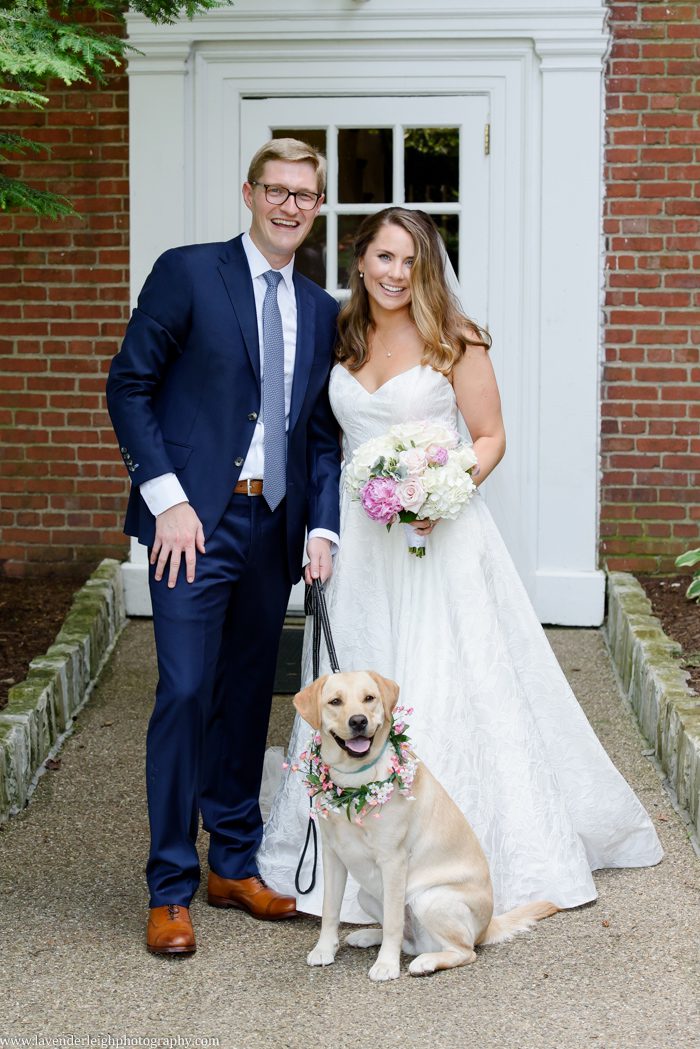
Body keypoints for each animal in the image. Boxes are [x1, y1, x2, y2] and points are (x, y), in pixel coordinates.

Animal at [293, 670, 558, 981]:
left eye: (369, 698)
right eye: (335, 701)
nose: (358, 721)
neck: (354, 785)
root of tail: (486, 928)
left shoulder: (393, 861)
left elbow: (393, 921)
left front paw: (386, 965)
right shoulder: (333, 854)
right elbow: (330, 909)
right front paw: (324, 949)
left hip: (429, 899)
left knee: (464, 951)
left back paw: (426, 962)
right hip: (366, 895)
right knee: (409, 941)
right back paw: (370, 936)